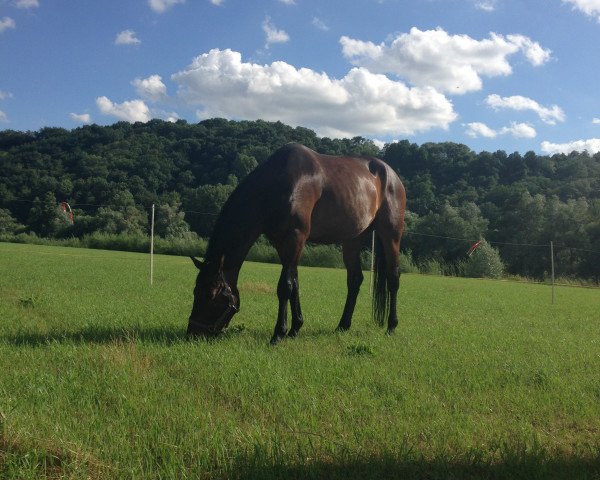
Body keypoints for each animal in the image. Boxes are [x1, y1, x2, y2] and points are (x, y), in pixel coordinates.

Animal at [188, 143, 406, 344]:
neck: (279, 183)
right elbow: (295, 283)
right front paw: (295, 329)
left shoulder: (295, 237)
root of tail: (391, 174)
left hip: (391, 234)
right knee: (355, 280)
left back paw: (391, 326)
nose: (193, 333)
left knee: (393, 277)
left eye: (210, 295)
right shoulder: (282, 242)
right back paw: (343, 325)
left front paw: (279, 333)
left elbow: (284, 286)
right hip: (352, 239)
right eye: (195, 291)